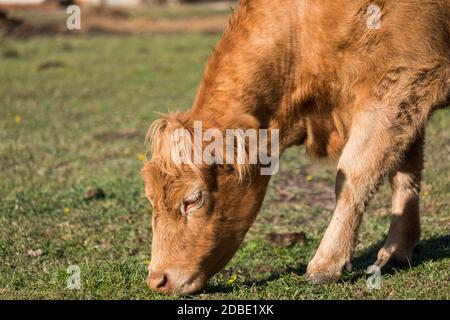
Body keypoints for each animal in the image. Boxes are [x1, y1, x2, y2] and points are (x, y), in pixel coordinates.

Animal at [142, 0, 450, 296]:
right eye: (150, 199)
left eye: (192, 200)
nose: (157, 280)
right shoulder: (407, 101)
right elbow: (405, 173)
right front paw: (398, 249)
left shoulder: (402, 81)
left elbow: (354, 174)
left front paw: (326, 265)